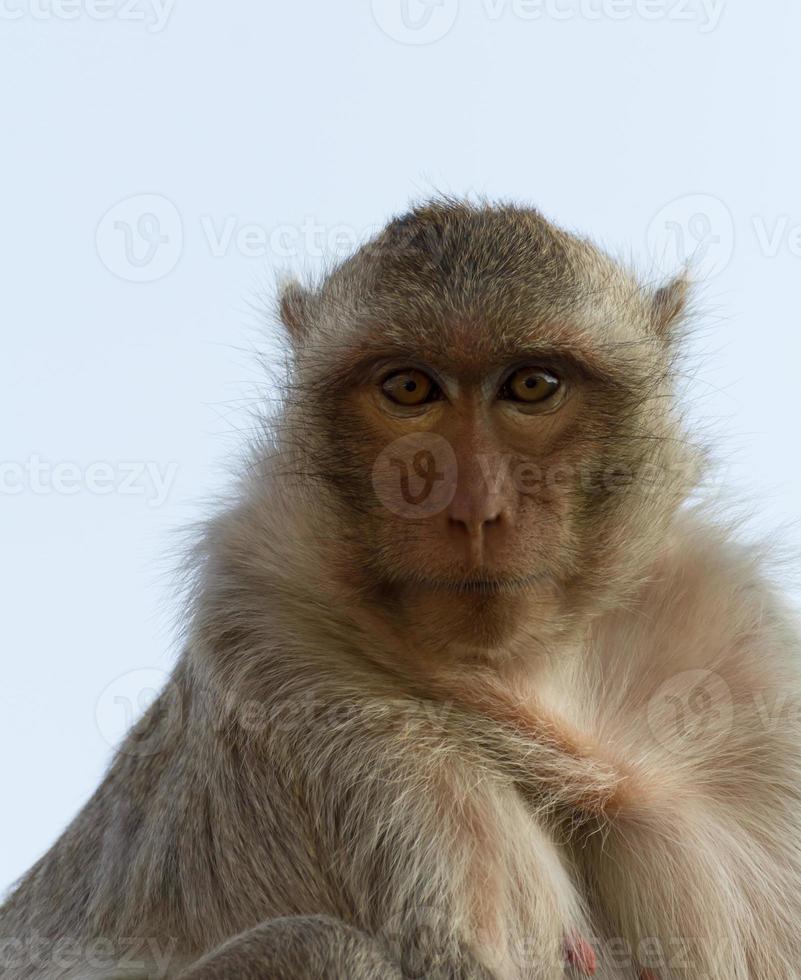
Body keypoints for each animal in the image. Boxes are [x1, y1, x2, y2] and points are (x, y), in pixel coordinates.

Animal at [1, 199, 800, 980]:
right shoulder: (314, 688)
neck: (536, 679)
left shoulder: (740, 657)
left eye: (532, 386)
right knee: (315, 944)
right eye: (409, 388)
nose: (473, 508)